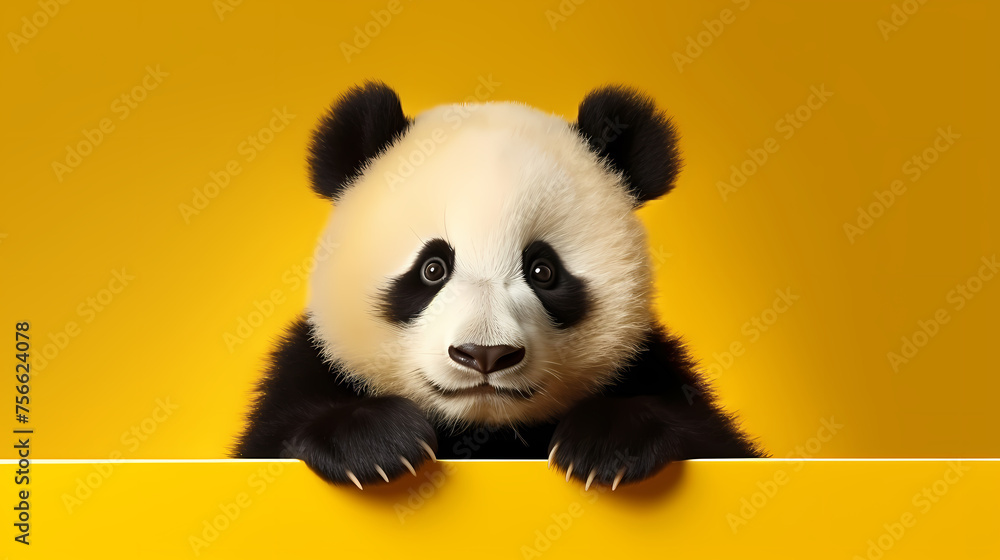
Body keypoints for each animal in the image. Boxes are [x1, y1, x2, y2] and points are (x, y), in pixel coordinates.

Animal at [233, 82, 763, 490]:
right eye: (432, 268)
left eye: (543, 271)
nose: (485, 355)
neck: (484, 432)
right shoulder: (306, 369)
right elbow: (271, 439)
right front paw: (372, 443)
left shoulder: (655, 367)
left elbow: (715, 440)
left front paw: (608, 443)